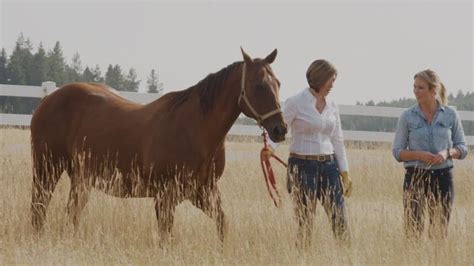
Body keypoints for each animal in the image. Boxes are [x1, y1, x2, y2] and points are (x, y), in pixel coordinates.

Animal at [31, 48, 286, 244]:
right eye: (258, 85)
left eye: (278, 83)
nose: (280, 129)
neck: (194, 128)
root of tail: (47, 99)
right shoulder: (165, 195)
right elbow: (166, 236)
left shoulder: (204, 191)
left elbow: (223, 224)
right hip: (47, 170)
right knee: (39, 209)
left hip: (80, 178)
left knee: (71, 214)